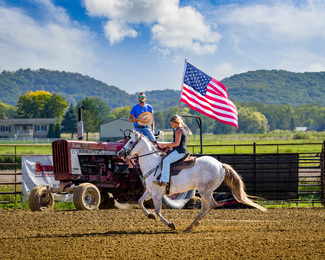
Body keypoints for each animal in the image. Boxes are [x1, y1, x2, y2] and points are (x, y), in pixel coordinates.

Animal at [117, 131, 264, 231]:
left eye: (131, 142)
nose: (119, 154)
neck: (153, 163)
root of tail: (221, 165)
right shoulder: (150, 190)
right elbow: (140, 201)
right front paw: (150, 215)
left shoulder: (157, 193)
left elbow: (158, 210)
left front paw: (170, 224)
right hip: (205, 191)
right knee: (208, 205)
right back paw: (193, 224)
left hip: (204, 190)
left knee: (210, 204)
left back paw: (193, 224)